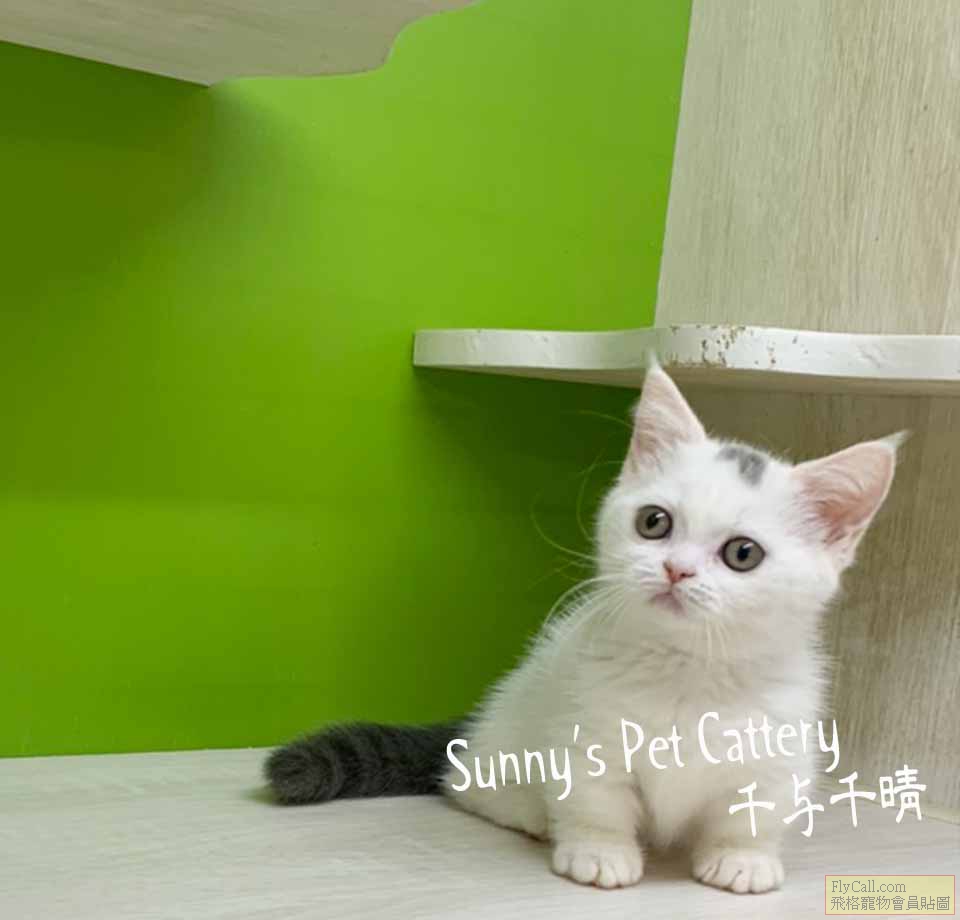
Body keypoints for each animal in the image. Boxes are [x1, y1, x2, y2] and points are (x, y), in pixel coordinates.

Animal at [265, 361, 901, 894]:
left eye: (743, 554)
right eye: (654, 522)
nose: (676, 569)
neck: (686, 671)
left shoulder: (777, 746)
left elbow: (753, 809)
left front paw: (743, 859)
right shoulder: (585, 729)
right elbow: (598, 800)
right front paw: (600, 852)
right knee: (469, 785)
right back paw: (533, 816)